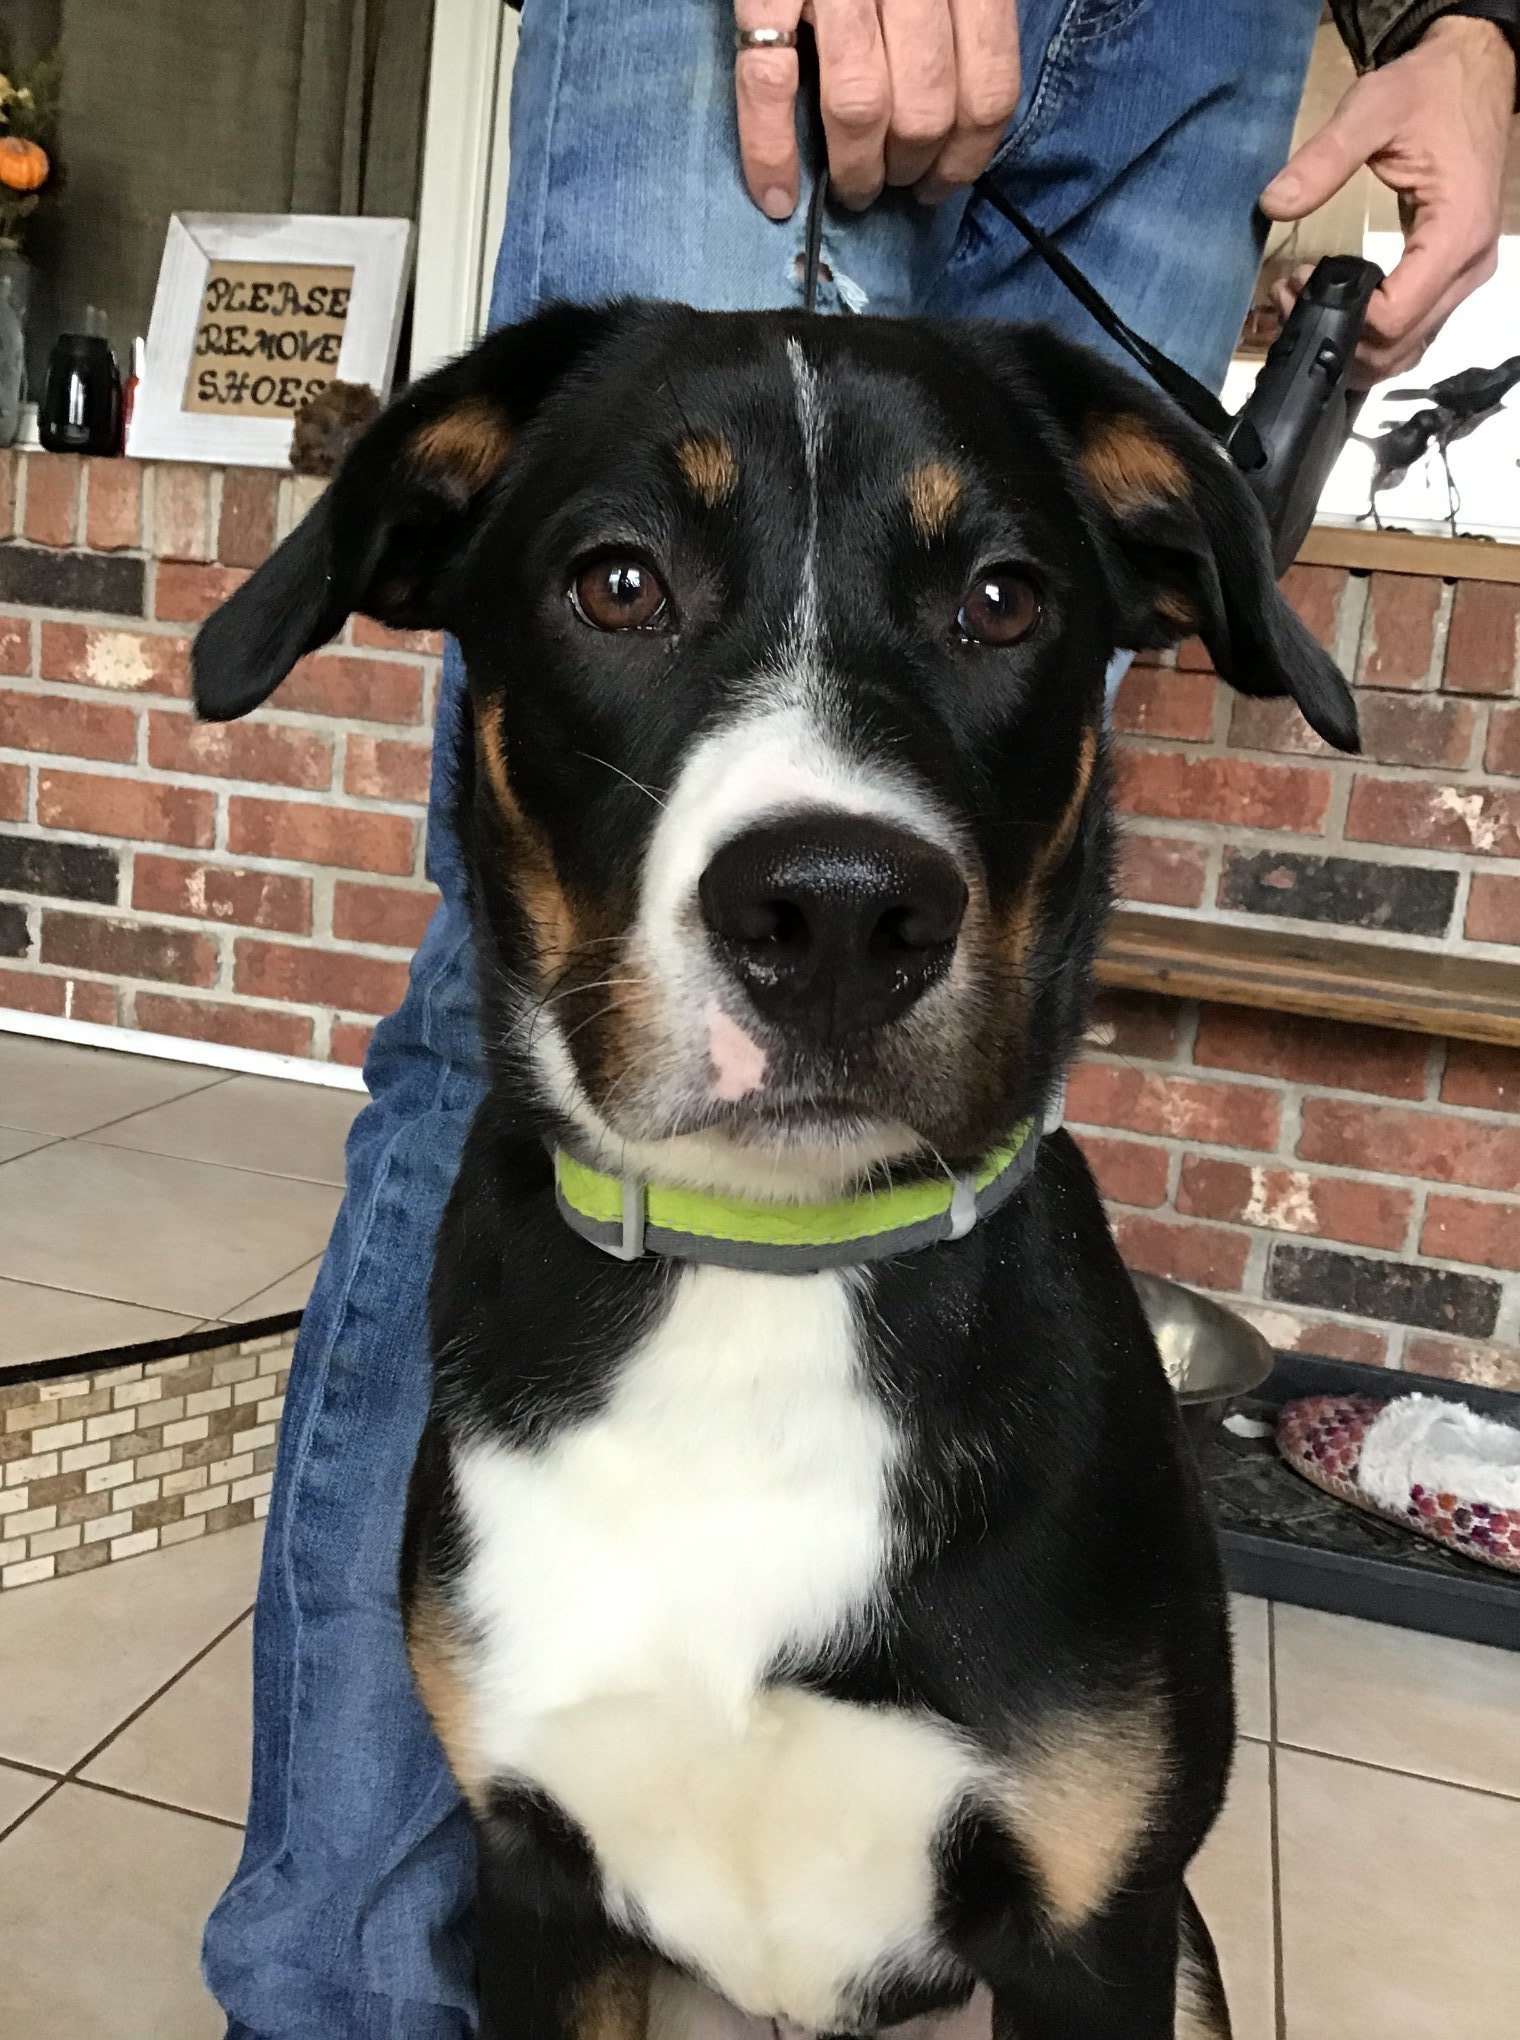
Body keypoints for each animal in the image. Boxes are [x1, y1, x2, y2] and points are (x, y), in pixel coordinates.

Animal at [192, 306, 1354, 2040]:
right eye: (618, 582)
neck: (763, 1281)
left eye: (1002, 599)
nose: (837, 916)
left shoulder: (1097, 1923)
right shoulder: (538, 1883)